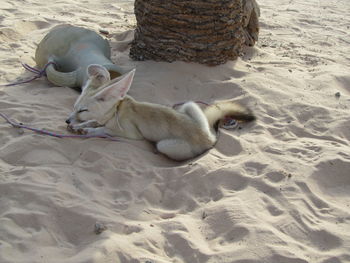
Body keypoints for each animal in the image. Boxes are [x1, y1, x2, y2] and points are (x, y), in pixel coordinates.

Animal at [67, 65, 256, 162]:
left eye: (83, 110)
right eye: (75, 107)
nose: (67, 121)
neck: (116, 111)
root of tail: (208, 137)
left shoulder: (131, 133)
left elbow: (102, 130)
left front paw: (87, 130)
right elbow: (94, 122)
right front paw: (81, 125)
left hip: (164, 145)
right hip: (189, 106)